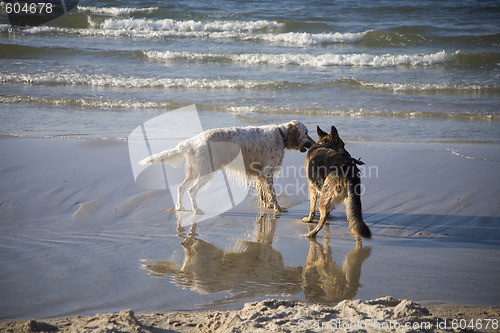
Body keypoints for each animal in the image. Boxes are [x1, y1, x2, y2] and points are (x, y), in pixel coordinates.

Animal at [140, 119, 312, 213]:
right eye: (306, 133)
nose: (313, 143)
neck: (281, 135)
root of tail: (192, 141)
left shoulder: (260, 174)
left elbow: (264, 194)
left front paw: (268, 206)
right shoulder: (267, 173)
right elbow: (273, 194)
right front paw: (278, 208)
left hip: (194, 171)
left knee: (181, 188)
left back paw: (179, 207)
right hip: (206, 172)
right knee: (191, 191)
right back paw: (196, 210)